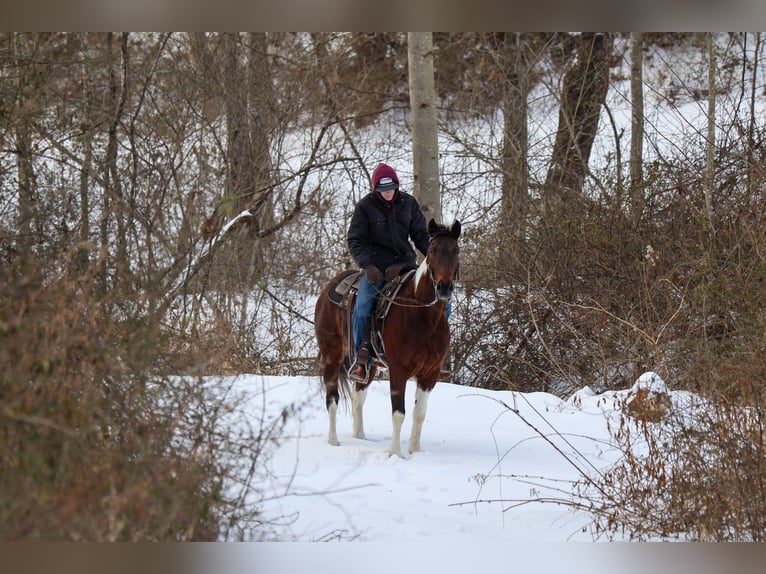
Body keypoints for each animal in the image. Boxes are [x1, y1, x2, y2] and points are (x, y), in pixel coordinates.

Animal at [314, 219, 461, 457]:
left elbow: (419, 413)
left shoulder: (430, 374)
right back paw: (333, 439)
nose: (444, 287)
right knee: (332, 399)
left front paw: (415, 450)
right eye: (432, 250)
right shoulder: (398, 370)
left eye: (456, 250)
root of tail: (331, 285)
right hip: (331, 357)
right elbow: (398, 413)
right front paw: (395, 453)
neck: (423, 317)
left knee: (358, 397)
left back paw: (360, 436)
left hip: (369, 365)